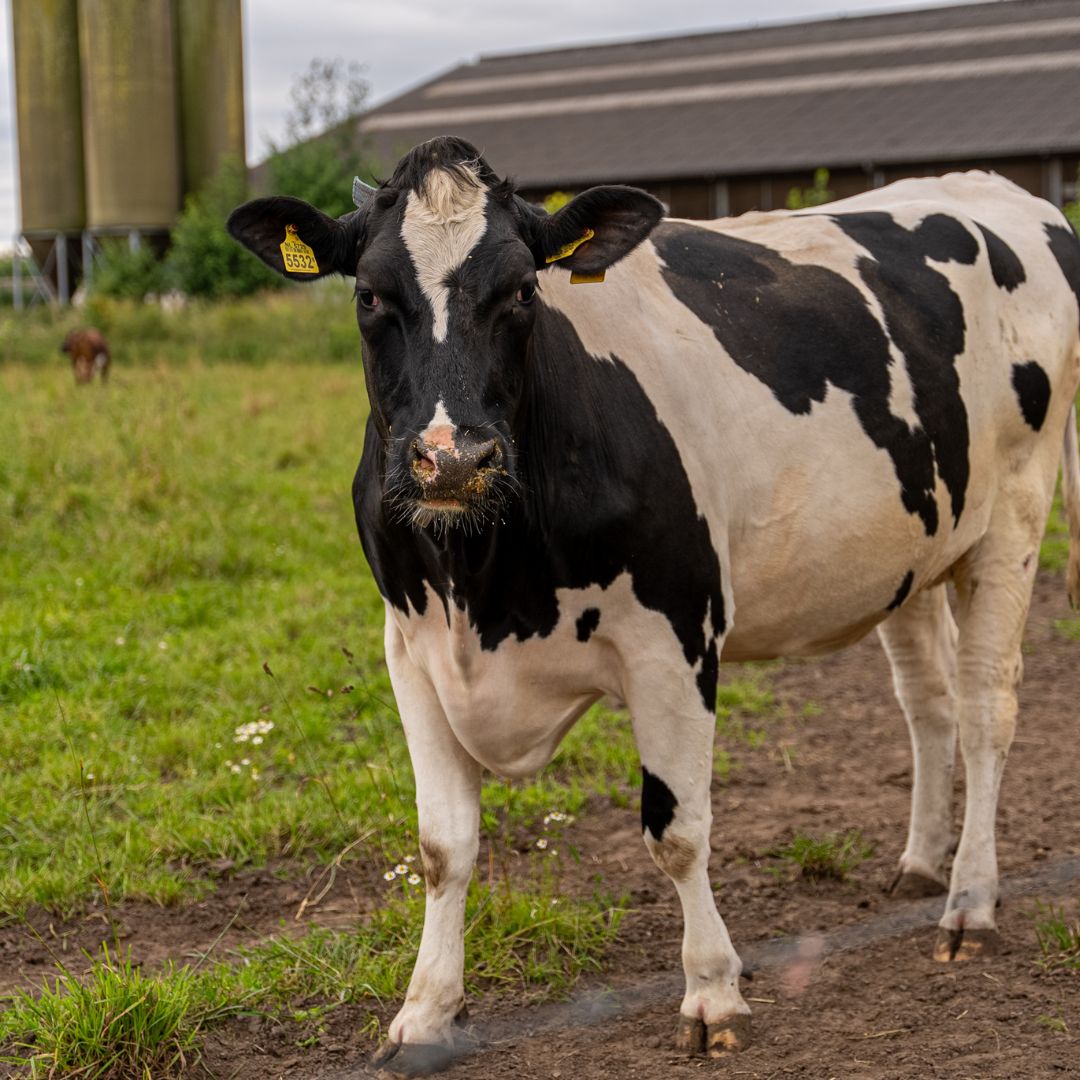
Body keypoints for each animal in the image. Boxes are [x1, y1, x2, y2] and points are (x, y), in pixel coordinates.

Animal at [232, 135, 1080, 1071]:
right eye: (371, 294)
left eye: (522, 290)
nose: (453, 460)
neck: (481, 584)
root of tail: (996, 187)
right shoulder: (411, 648)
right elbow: (441, 846)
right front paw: (424, 1014)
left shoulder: (675, 634)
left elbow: (677, 831)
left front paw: (713, 992)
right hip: (910, 547)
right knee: (928, 705)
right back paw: (923, 865)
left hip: (1014, 514)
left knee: (986, 709)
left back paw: (969, 903)